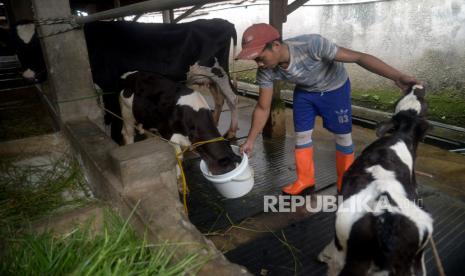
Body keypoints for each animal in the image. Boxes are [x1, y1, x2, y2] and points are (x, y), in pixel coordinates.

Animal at [82, 18, 239, 144]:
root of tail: (224, 22)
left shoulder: (109, 86)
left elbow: (112, 119)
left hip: (219, 72)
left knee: (232, 97)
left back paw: (231, 132)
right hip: (211, 78)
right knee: (220, 99)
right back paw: (216, 122)